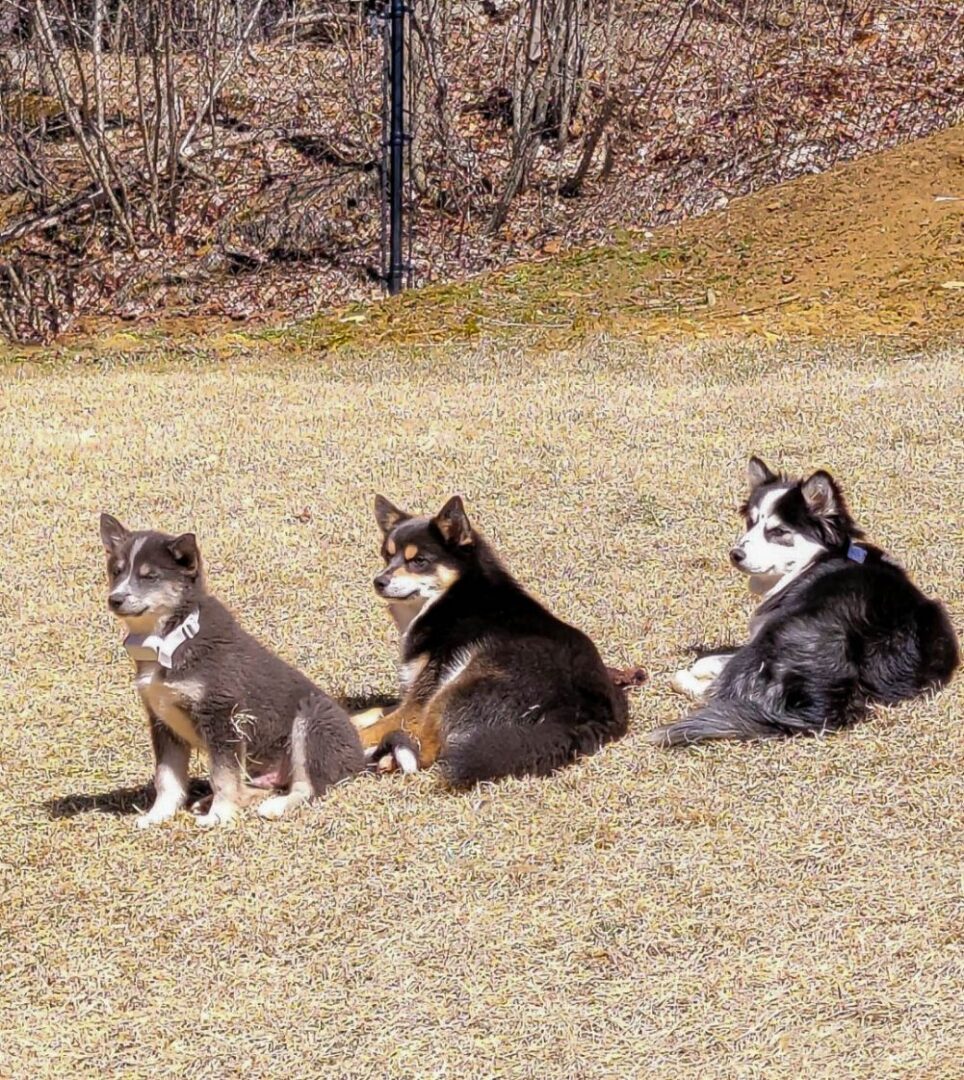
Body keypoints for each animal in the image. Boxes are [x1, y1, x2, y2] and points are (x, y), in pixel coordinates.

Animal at [100, 514, 364, 825]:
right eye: (116, 572)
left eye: (149, 576)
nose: (115, 599)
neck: (171, 638)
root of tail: (361, 757)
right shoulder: (162, 721)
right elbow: (167, 779)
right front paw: (158, 815)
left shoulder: (223, 715)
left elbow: (222, 776)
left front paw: (218, 816)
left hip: (311, 720)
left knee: (307, 785)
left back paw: (275, 806)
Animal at [349, 494, 626, 786]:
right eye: (387, 556)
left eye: (419, 561)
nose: (379, 581)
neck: (453, 599)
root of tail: (582, 715)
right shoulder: (415, 696)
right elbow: (374, 712)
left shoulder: (419, 702)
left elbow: (378, 725)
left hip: (458, 685)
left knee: (425, 753)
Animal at [652, 453, 958, 743]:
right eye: (750, 523)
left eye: (777, 532)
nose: (735, 554)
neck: (820, 560)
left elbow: (712, 662)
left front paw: (698, 670)